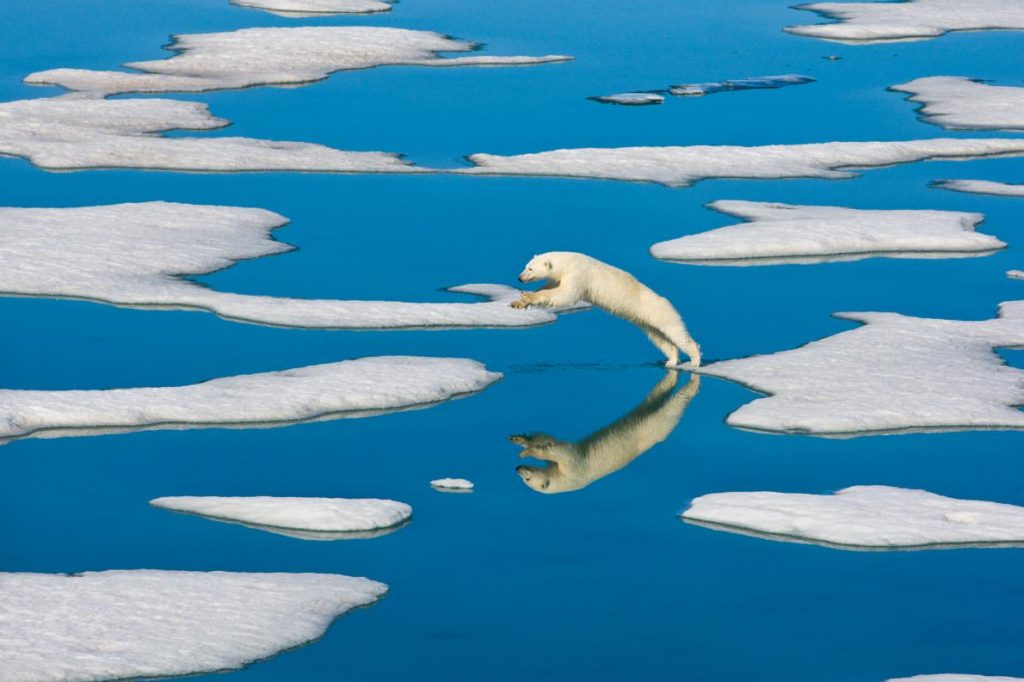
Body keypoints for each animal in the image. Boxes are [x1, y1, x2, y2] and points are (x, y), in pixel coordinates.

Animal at [511, 251, 701, 368]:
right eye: (525, 265)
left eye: (530, 268)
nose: (519, 278)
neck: (567, 262)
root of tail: (667, 303)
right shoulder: (562, 276)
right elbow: (551, 287)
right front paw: (519, 302)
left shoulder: (578, 275)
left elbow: (565, 295)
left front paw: (528, 296)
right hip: (645, 320)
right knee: (660, 338)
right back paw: (671, 361)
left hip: (661, 313)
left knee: (677, 333)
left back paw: (695, 360)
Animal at [513, 372, 700, 494]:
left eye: (527, 480)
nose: (518, 469)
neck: (566, 482)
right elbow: (548, 444)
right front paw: (520, 439)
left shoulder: (574, 467)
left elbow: (557, 448)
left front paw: (528, 449)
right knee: (656, 396)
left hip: (658, 424)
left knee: (671, 408)